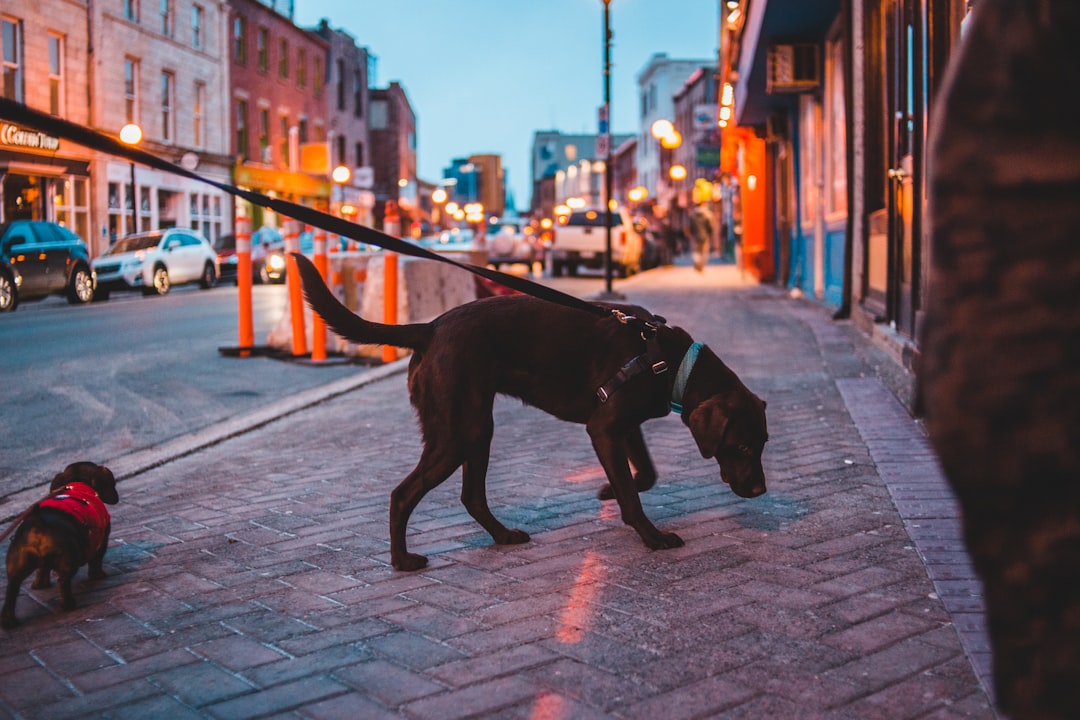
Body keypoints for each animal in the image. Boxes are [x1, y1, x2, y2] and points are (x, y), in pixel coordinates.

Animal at [1, 464, 117, 626]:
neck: (78, 485)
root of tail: (39, 524)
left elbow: (42, 571)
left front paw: (39, 585)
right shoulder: (102, 541)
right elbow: (96, 562)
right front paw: (98, 576)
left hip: (16, 566)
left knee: (12, 590)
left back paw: (8, 621)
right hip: (68, 560)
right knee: (62, 582)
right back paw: (68, 605)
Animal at [295, 253, 768, 569]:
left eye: (763, 443)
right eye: (742, 446)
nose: (761, 491)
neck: (672, 361)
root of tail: (429, 328)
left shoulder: (623, 427)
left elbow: (646, 474)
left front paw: (610, 490)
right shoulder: (604, 427)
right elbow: (634, 497)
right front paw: (650, 536)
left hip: (476, 428)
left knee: (471, 496)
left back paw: (502, 535)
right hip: (458, 432)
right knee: (402, 494)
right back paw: (402, 559)